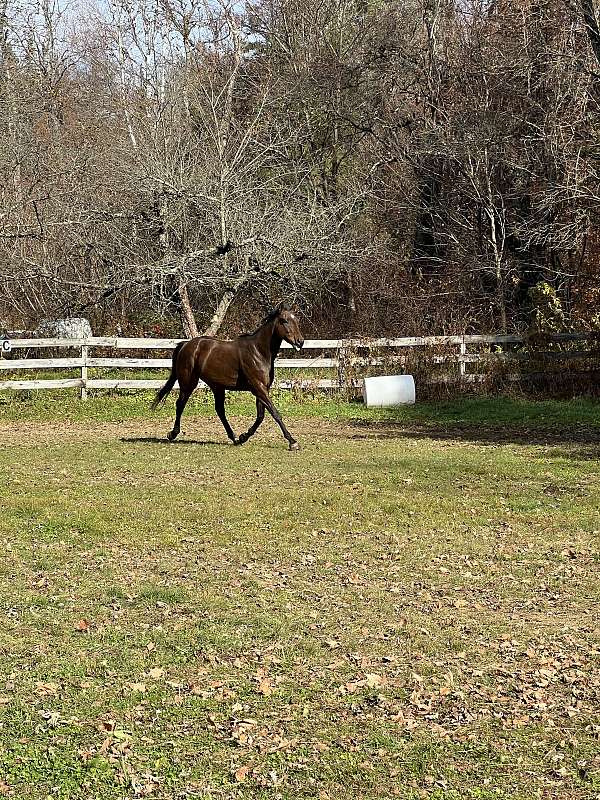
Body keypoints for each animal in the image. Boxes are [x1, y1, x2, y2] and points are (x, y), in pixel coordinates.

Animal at [152, 306, 304, 450]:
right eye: (284, 320)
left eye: (297, 320)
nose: (300, 342)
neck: (259, 352)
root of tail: (185, 345)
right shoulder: (258, 388)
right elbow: (275, 413)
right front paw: (292, 442)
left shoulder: (262, 389)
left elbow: (260, 416)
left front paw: (243, 437)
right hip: (188, 383)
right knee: (180, 404)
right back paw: (173, 434)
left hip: (217, 387)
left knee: (220, 410)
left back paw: (234, 437)